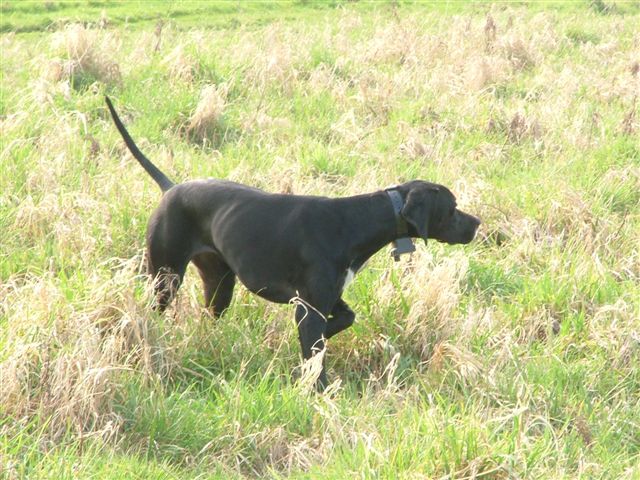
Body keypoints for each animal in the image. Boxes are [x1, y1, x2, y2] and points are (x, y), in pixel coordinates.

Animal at [105, 96, 480, 389]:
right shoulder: (309, 308)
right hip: (165, 278)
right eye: (452, 208)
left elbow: (342, 322)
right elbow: (316, 359)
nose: (477, 224)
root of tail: (171, 189)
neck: (355, 222)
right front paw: (320, 390)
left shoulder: (326, 301)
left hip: (219, 284)